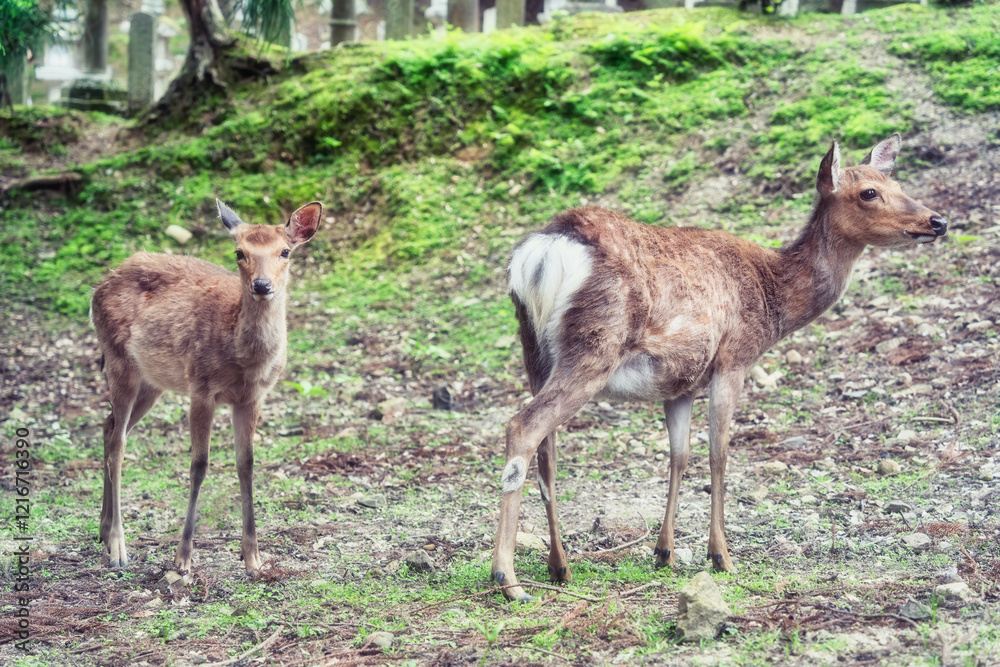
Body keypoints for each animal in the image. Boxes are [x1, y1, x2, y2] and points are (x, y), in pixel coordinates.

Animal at [90, 200, 322, 574]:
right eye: (239, 252)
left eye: (285, 251)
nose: (261, 285)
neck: (244, 361)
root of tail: (99, 285)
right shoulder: (201, 388)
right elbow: (199, 465)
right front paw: (182, 558)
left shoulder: (253, 397)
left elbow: (246, 463)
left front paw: (253, 558)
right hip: (117, 360)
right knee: (118, 444)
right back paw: (118, 548)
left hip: (153, 380)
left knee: (108, 425)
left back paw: (103, 529)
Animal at [492, 134, 946, 601]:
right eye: (868, 192)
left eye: (896, 183)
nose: (937, 221)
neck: (772, 297)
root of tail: (544, 251)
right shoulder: (734, 358)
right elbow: (719, 454)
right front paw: (721, 556)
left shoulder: (681, 383)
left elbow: (678, 457)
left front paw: (664, 552)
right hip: (596, 345)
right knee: (524, 427)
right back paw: (508, 578)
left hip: (534, 352)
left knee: (547, 451)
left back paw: (559, 566)